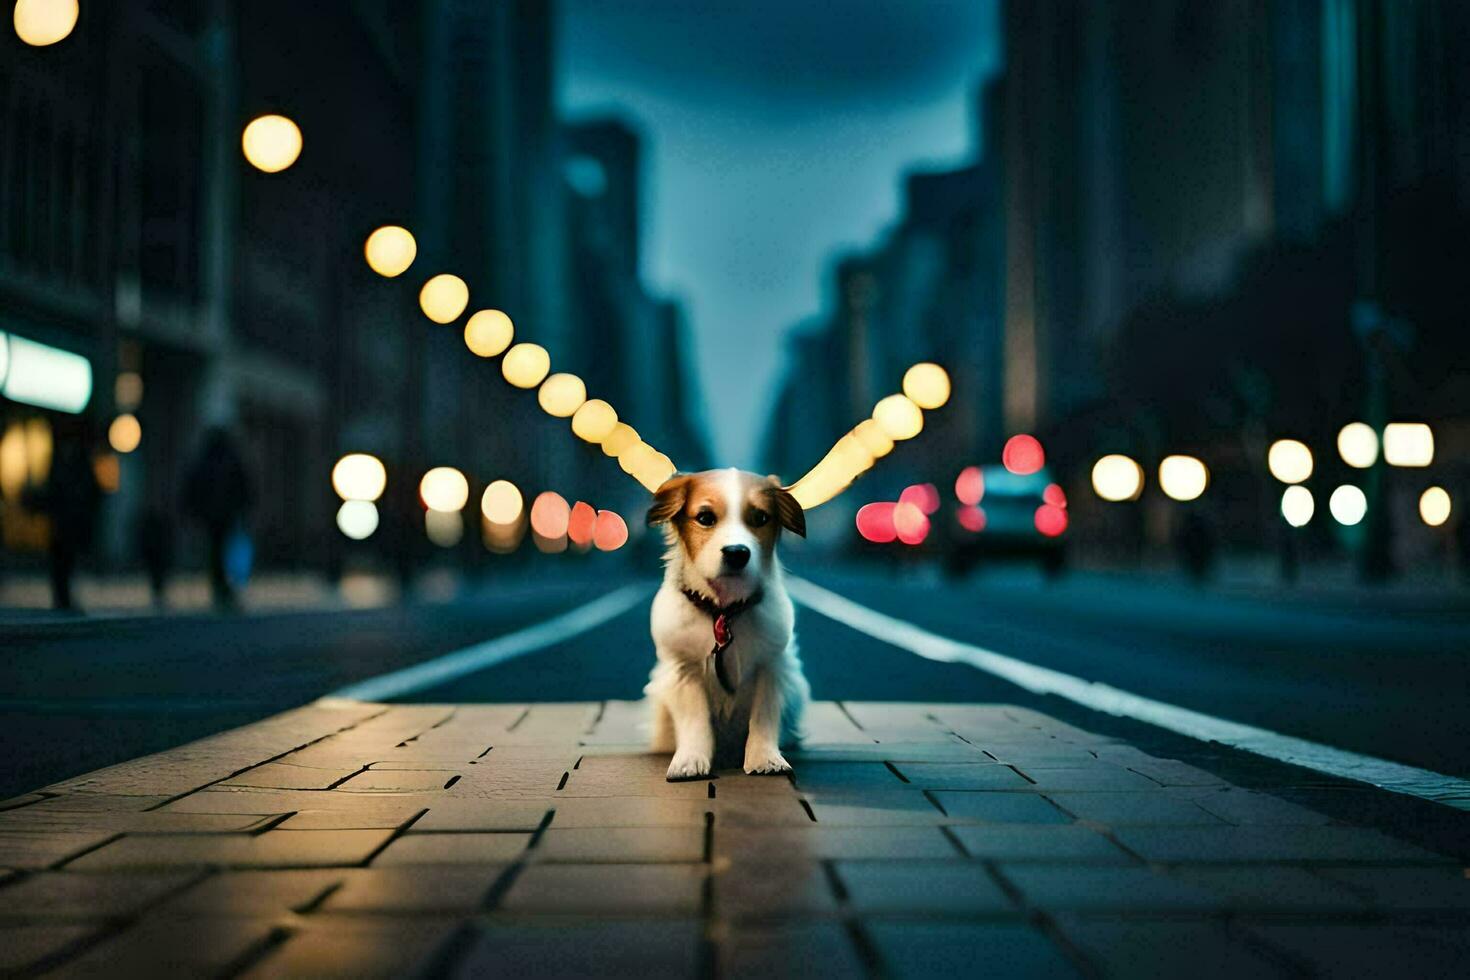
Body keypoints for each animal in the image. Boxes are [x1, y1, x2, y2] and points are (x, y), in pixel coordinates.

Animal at [646, 467, 811, 781]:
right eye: (705, 518)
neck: (724, 612)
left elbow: (764, 716)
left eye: (760, 518)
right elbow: (695, 718)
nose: (737, 552)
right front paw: (690, 760)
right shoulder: (682, 669)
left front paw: (765, 758)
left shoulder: (773, 665)